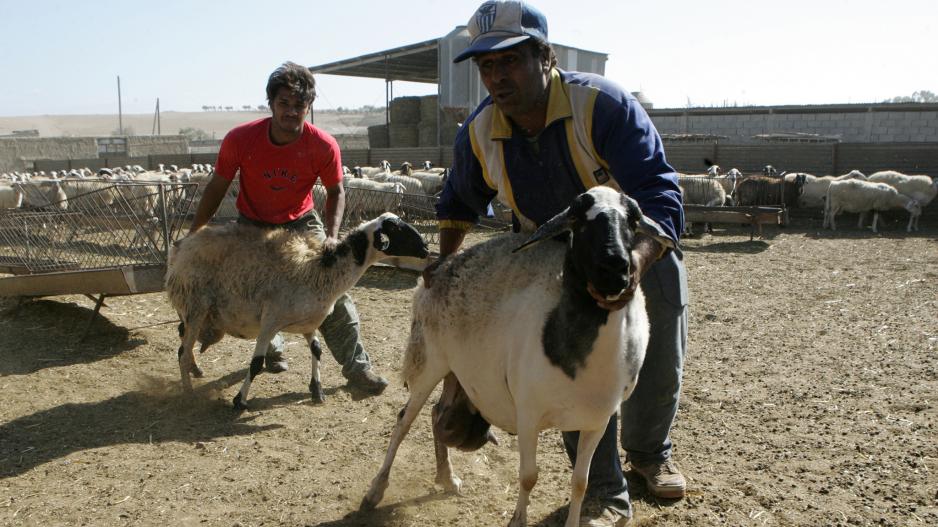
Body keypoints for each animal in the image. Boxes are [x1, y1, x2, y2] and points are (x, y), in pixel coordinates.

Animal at [358, 187, 672, 527]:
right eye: (577, 219)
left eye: (633, 220)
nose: (615, 270)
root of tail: (439, 267)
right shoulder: (528, 413)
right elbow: (528, 476)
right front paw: (518, 519)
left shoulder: (596, 422)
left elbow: (580, 482)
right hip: (430, 361)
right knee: (405, 419)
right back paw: (374, 491)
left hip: (458, 370)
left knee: (437, 414)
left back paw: (447, 478)